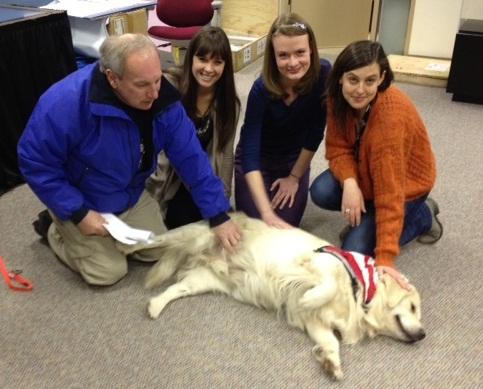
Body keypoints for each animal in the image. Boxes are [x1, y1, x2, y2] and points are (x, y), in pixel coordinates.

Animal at [142, 212, 426, 378]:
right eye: (413, 307)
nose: (423, 334)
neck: (359, 292)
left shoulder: (316, 322)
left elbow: (331, 342)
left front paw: (331, 363)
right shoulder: (318, 264)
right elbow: (326, 287)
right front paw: (309, 297)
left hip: (206, 280)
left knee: (175, 289)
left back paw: (154, 306)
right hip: (190, 237)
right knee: (158, 241)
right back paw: (134, 240)